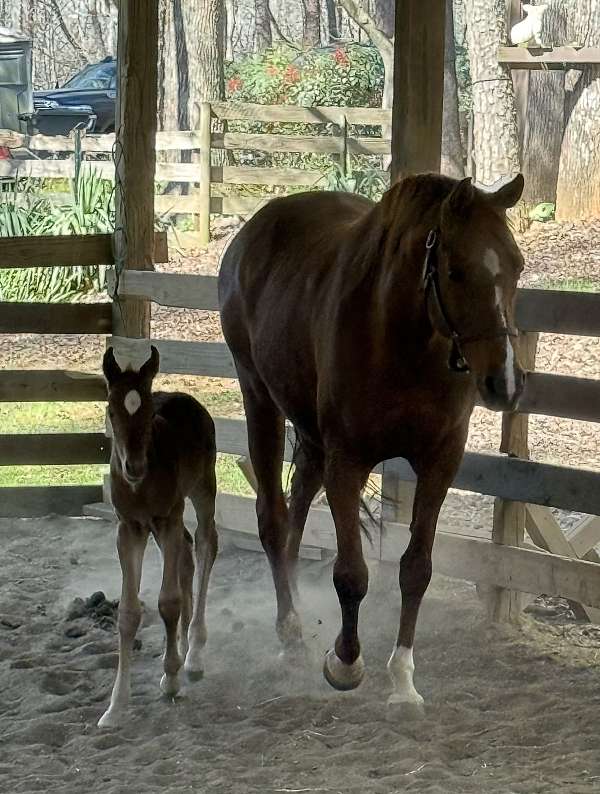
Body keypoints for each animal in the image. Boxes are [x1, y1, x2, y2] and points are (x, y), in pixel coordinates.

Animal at [98, 346, 218, 728]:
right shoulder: (128, 528)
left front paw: (172, 677)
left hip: (202, 488)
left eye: (149, 412)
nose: (134, 467)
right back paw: (182, 649)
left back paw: (193, 653)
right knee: (188, 553)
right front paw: (116, 705)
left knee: (206, 543)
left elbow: (168, 602)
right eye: (111, 409)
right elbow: (128, 613)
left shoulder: (166, 520)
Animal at [218, 172, 527, 709]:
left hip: (310, 432)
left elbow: (416, 568)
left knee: (298, 507)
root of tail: (251, 233)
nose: (504, 383)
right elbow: (351, 574)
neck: (402, 340)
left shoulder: (439, 463)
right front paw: (345, 661)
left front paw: (403, 678)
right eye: (456, 271)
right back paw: (290, 630)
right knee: (274, 520)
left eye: (517, 266)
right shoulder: (349, 462)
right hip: (259, 397)